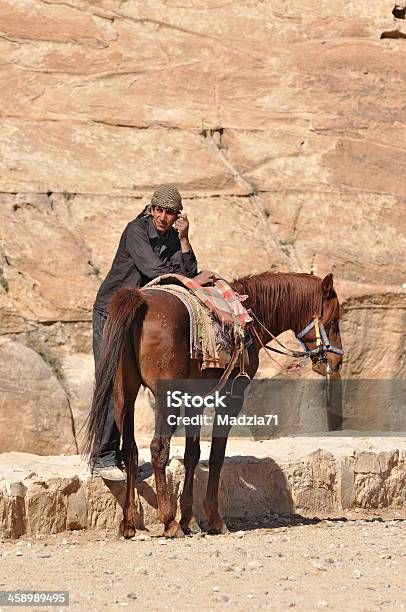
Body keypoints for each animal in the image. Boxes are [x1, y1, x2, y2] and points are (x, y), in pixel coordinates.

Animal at [85, 270, 342, 536]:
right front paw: (214, 519)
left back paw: (128, 522)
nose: (337, 361)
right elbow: (217, 454)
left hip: (123, 393)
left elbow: (192, 453)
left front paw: (189, 518)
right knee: (158, 448)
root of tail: (139, 299)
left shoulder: (194, 398)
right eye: (334, 319)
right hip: (165, 396)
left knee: (130, 450)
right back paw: (169, 521)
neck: (249, 316)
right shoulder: (231, 397)